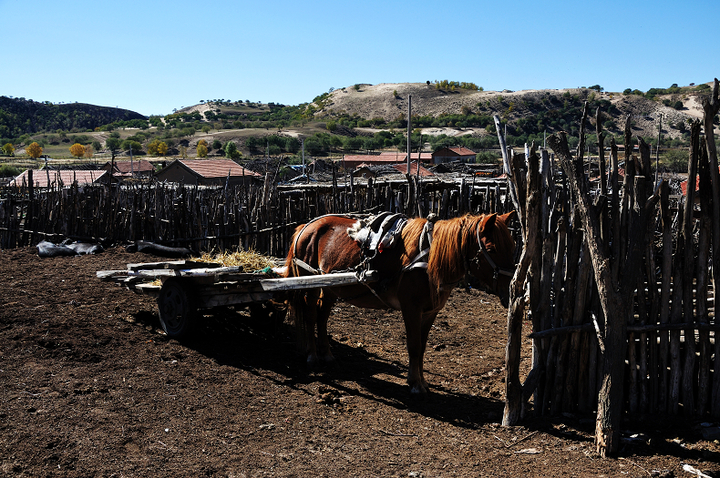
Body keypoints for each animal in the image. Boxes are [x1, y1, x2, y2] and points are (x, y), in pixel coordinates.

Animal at [284, 212, 516, 392]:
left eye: (512, 247)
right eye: (492, 249)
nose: (510, 291)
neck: (429, 258)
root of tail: (306, 227)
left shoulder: (430, 312)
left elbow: (422, 347)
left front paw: (422, 381)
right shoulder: (411, 309)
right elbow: (413, 345)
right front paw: (415, 383)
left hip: (330, 286)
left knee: (322, 317)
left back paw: (327, 354)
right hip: (310, 284)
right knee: (310, 316)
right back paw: (313, 357)